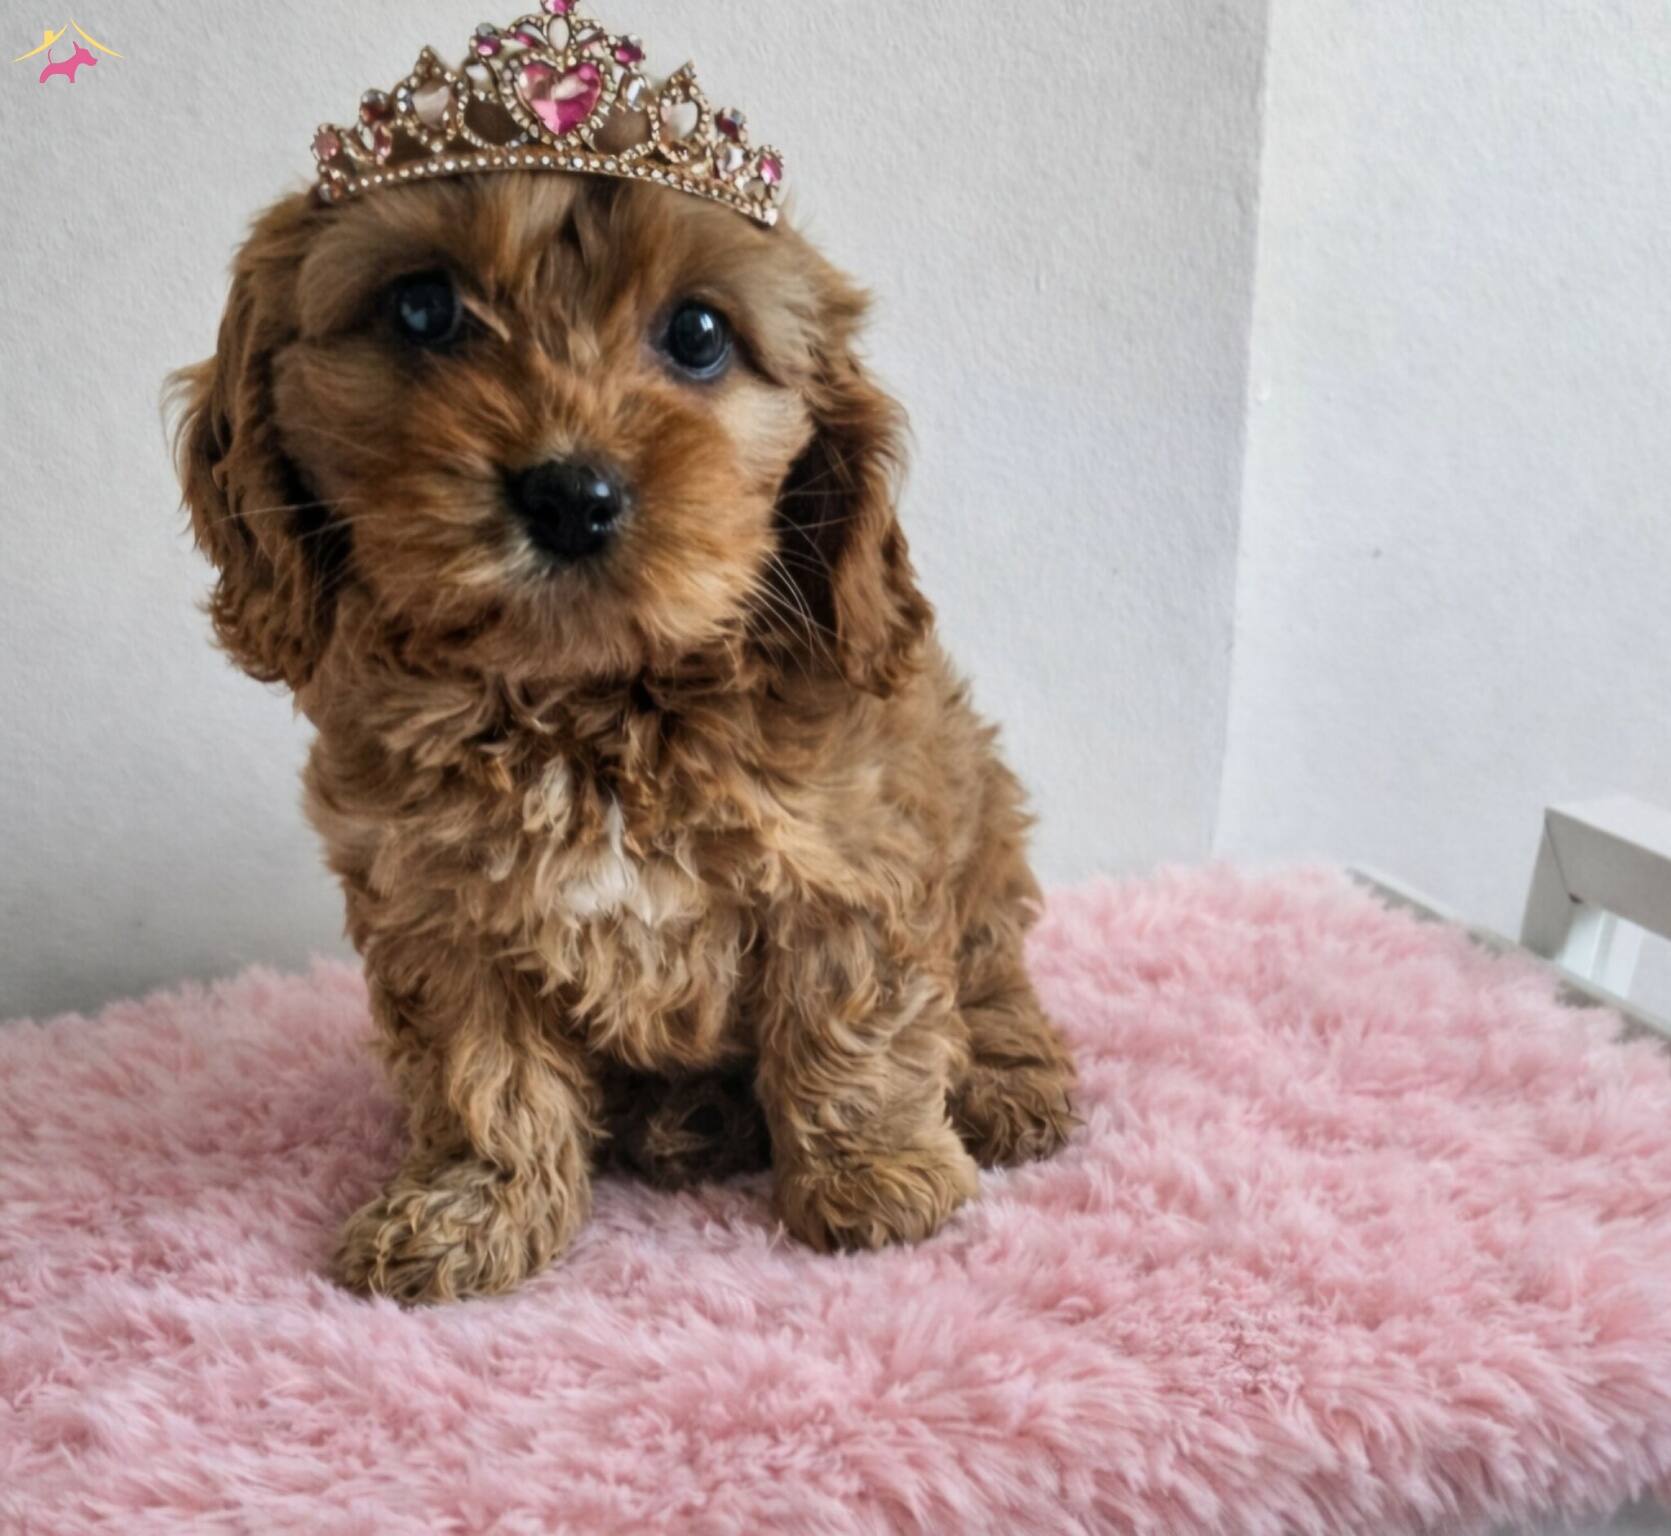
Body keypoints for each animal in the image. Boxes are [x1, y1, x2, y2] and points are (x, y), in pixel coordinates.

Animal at [174, 98, 1074, 1305]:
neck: (588, 701)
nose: (570, 493)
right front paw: (472, 1213)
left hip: (986, 845)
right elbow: (480, 1073)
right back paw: (686, 1122)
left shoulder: (849, 861)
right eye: (422, 309)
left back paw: (1006, 1087)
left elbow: (851, 1017)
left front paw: (876, 1180)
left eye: (697, 334)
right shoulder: (438, 913)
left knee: (990, 981)